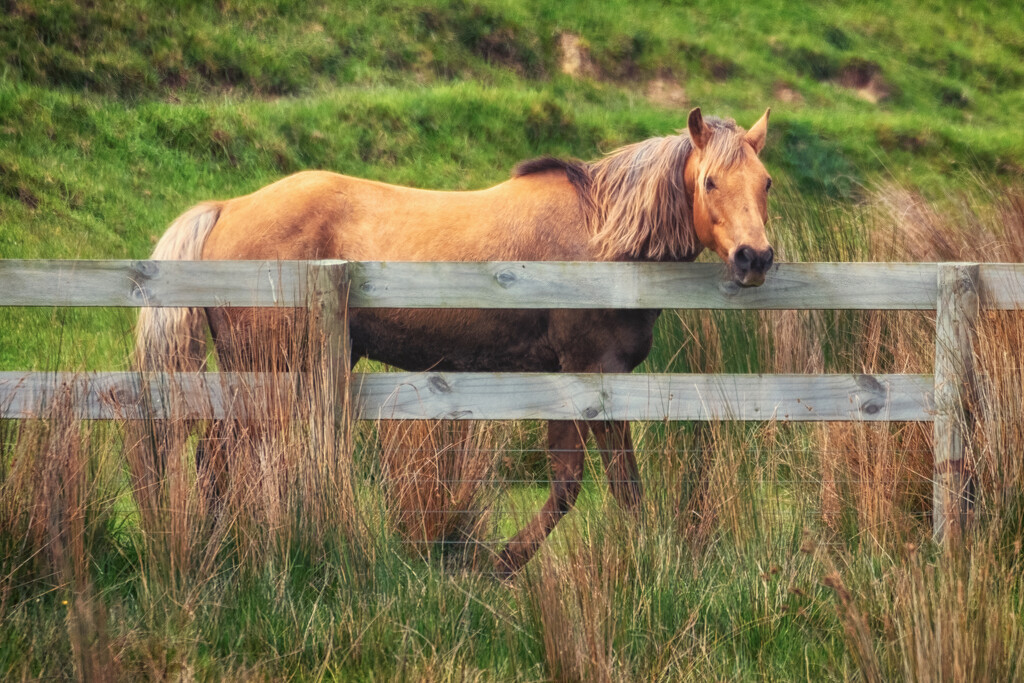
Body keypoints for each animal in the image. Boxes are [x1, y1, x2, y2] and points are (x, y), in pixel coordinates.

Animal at [138, 107, 774, 573]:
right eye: (710, 181)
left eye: (765, 183)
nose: (755, 258)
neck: (600, 242)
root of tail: (229, 208)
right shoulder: (594, 376)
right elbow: (616, 485)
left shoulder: (562, 383)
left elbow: (567, 484)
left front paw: (500, 563)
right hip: (267, 372)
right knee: (220, 459)